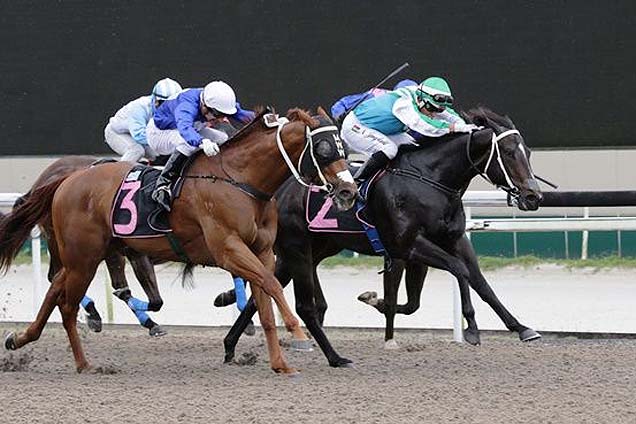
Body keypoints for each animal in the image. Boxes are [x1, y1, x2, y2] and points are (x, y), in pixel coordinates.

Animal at [0, 109, 358, 374]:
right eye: (324, 149)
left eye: (342, 146)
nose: (349, 191)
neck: (240, 179)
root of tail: (66, 179)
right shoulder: (227, 248)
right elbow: (270, 285)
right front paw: (297, 335)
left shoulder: (262, 252)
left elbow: (265, 302)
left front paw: (280, 363)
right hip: (84, 258)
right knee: (68, 305)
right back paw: (84, 362)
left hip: (86, 256)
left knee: (54, 290)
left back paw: (19, 339)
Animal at [217, 107, 540, 366]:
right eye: (508, 152)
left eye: (527, 151)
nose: (533, 196)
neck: (431, 180)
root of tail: (276, 191)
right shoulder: (408, 245)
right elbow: (458, 271)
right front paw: (471, 327)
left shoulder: (451, 241)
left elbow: (476, 284)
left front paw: (522, 328)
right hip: (297, 249)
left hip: (314, 249)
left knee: (261, 293)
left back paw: (231, 346)